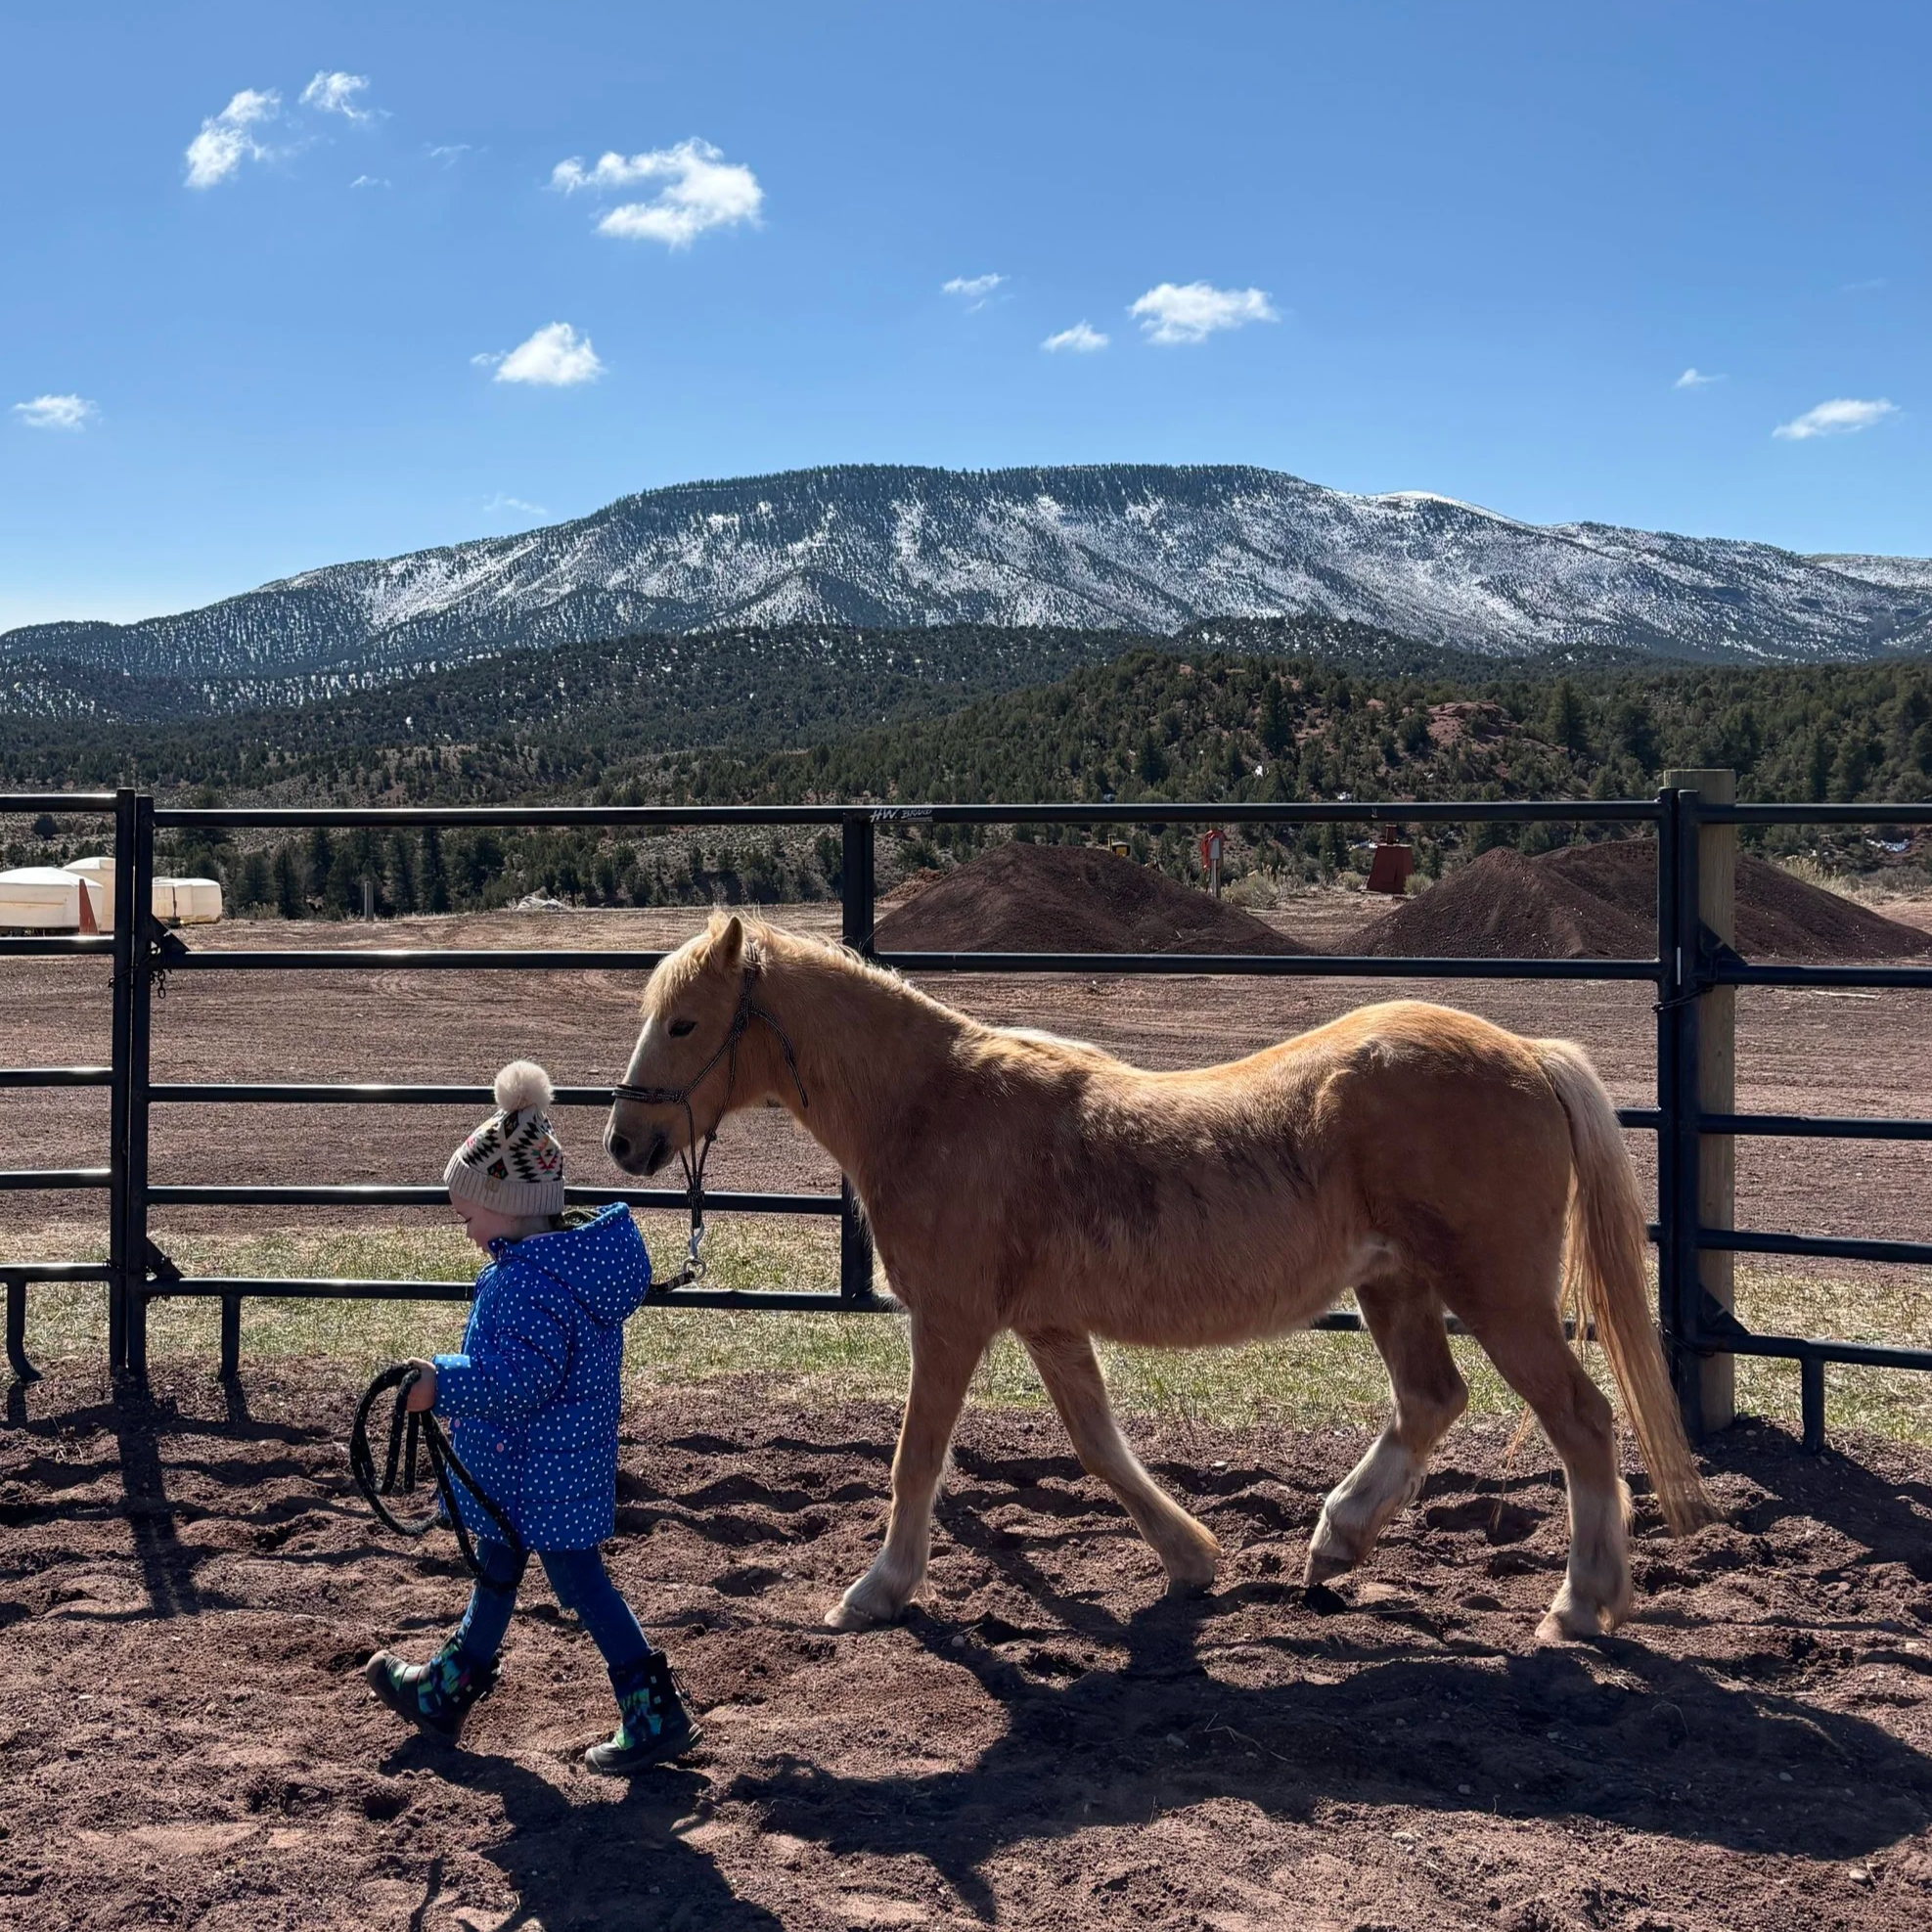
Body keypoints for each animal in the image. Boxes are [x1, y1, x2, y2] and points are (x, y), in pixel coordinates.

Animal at [606, 912, 1710, 1644]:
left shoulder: (950, 1320)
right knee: (1431, 1400)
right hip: (1396, 1286)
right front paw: (1191, 1559)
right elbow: (1099, 1447)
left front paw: (877, 1590)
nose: (624, 1140)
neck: (933, 1107)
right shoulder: (1047, 1326)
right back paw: (1335, 1543)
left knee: (1579, 1420)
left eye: (687, 1022)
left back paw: (1580, 1602)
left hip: (1497, 1292)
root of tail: (1526, 1049)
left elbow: (916, 1460)